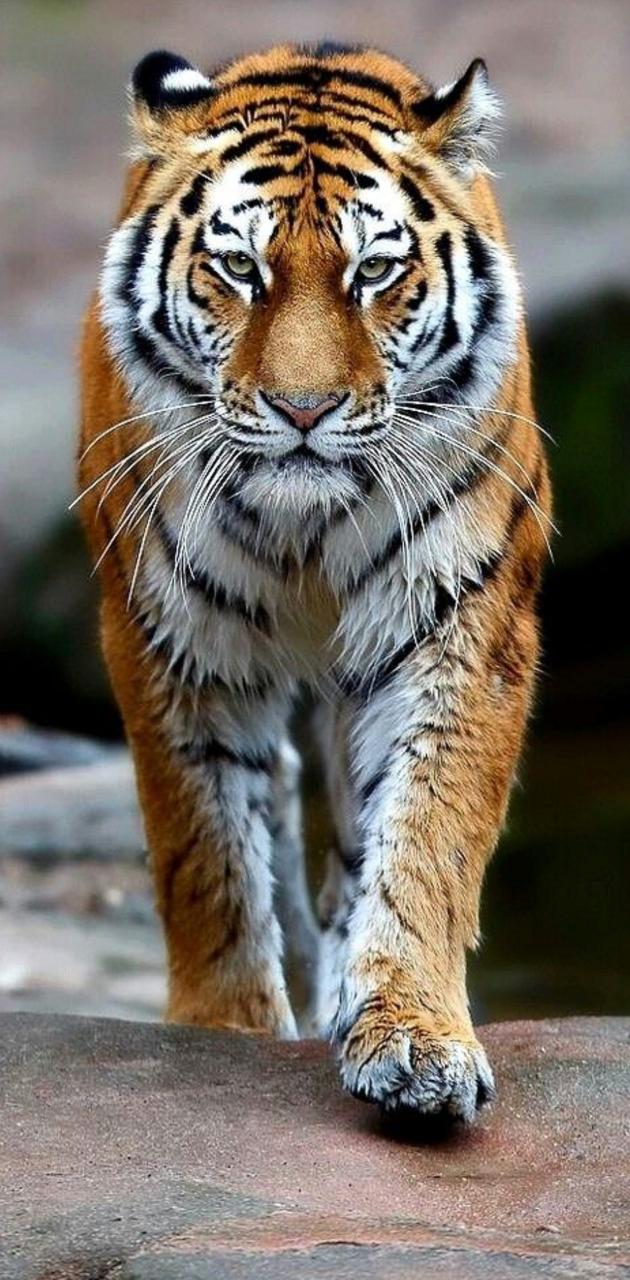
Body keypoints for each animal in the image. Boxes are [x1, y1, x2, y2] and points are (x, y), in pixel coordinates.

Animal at [78, 41, 551, 1124]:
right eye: (238, 269)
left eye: (372, 271)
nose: (303, 409)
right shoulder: (172, 636)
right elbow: (205, 850)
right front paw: (225, 1029)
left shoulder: (461, 618)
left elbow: (426, 831)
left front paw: (414, 1037)